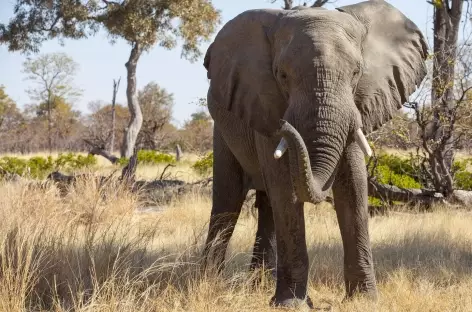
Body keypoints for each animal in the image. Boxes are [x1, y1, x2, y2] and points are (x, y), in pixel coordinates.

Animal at [199, 0, 428, 308]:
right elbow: (285, 186)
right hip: (222, 128)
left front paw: (364, 300)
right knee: (228, 200)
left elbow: (354, 184)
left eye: (356, 73)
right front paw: (292, 305)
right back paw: (208, 281)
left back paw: (258, 285)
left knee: (267, 205)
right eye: (282, 75)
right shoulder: (262, 103)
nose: (285, 125)